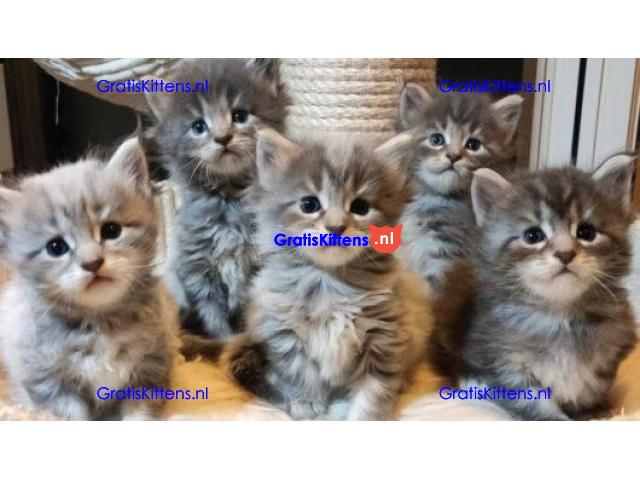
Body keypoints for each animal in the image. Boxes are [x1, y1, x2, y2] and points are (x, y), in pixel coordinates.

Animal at [0, 138, 178, 420]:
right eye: (56, 247)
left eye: (111, 230)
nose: (92, 263)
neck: (100, 325)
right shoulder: (50, 383)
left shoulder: (150, 368)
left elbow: (139, 414)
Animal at [143, 58, 289, 338]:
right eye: (198, 126)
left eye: (239, 116)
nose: (223, 137)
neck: (229, 196)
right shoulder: (197, 269)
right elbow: (213, 318)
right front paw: (224, 341)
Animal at [223, 129, 432, 420]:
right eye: (309, 204)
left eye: (360, 207)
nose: (336, 227)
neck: (329, 283)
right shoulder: (284, 334)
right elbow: (302, 373)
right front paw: (308, 403)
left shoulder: (385, 336)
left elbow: (374, 391)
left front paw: (366, 418)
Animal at [431, 154, 637, 420]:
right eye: (533, 236)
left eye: (586, 232)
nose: (565, 253)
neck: (559, 317)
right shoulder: (505, 359)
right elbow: (534, 402)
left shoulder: (611, 350)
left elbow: (592, 385)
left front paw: (592, 411)